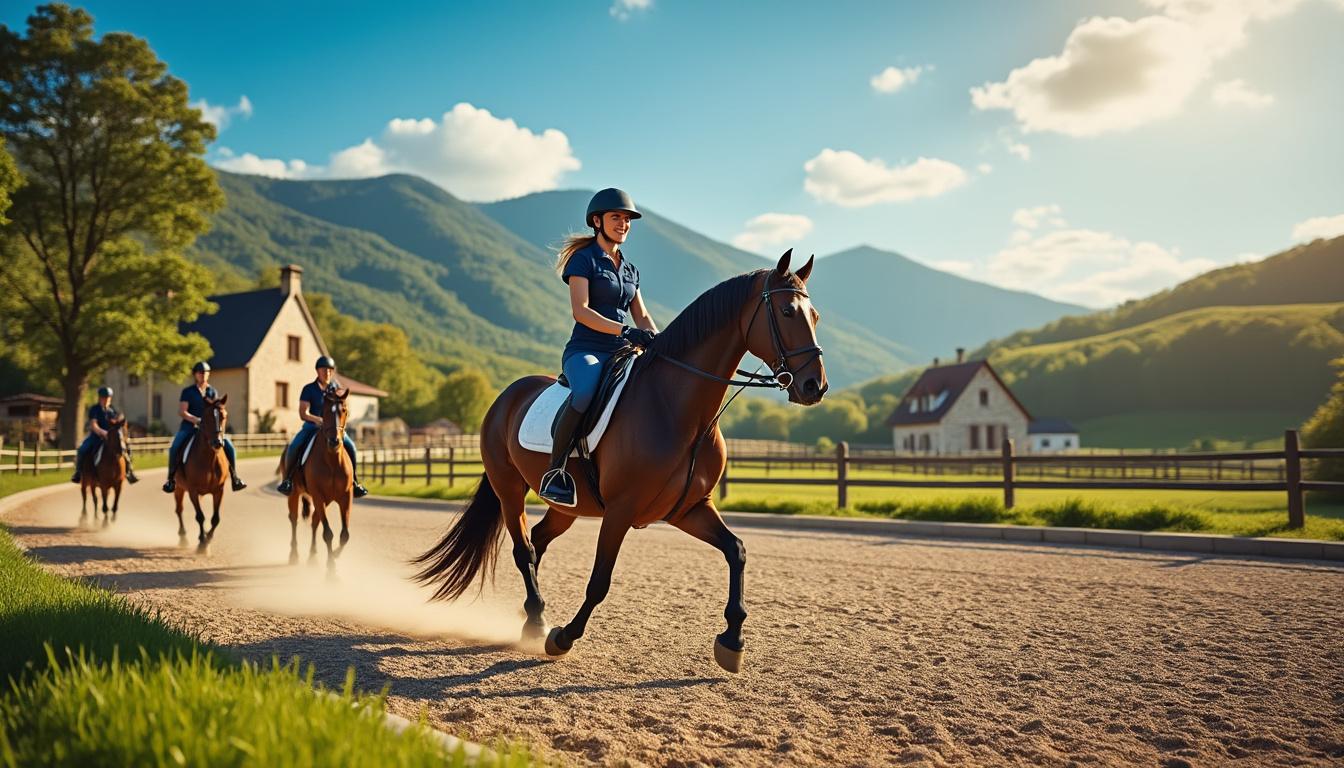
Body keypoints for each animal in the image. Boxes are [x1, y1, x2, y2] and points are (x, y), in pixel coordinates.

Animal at [173, 394, 231, 551]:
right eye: (206, 417)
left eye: (224, 416)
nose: (217, 443)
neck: (209, 459)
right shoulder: (193, 491)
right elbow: (200, 516)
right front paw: (202, 544)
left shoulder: (219, 490)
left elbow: (215, 519)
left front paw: (207, 539)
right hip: (178, 487)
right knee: (179, 510)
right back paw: (183, 538)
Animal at [281, 387, 353, 569]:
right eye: (325, 411)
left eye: (344, 410)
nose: (334, 442)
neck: (332, 461)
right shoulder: (318, 495)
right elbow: (328, 533)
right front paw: (331, 568)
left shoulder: (345, 497)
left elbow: (345, 535)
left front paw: (335, 555)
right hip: (295, 494)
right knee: (294, 519)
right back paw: (294, 555)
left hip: (324, 501)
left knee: (314, 521)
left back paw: (312, 556)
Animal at [413, 250, 827, 673]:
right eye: (788, 312)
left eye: (814, 316)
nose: (815, 386)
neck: (678, 410)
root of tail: (506, 396)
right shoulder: (621, 510)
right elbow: (600, 581)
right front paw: (563, 637)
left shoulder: (689, 508)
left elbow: (736, 551)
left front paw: (732, 640)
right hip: (509, 489)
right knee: (523, 549)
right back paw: (538, 621)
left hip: (567, 507)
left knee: (537, 544)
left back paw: (531, 616)